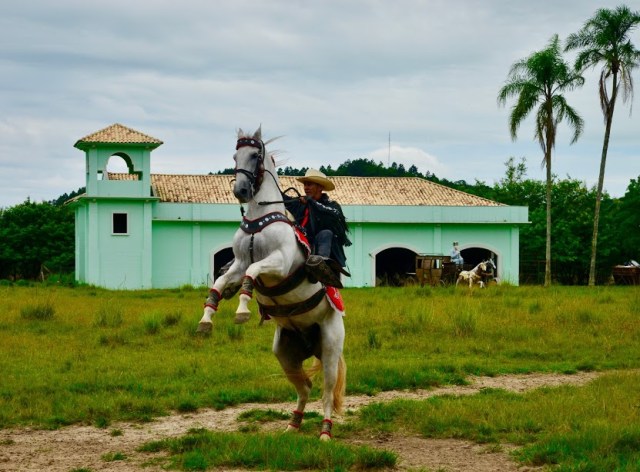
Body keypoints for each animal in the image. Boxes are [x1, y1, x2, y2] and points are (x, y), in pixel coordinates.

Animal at [196, 126, 346, 440]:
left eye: (255, 155)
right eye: (235, 156)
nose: (240, 190)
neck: (260, 220)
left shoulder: (278, 263)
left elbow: (253, 273)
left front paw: (242, 311)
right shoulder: (238, 263)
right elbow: (220, 282)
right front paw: (206, 319)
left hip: (330, 347)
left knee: (326, 392)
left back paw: (325, 433)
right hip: (285, 354)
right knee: (305, 388)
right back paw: (293, 425)